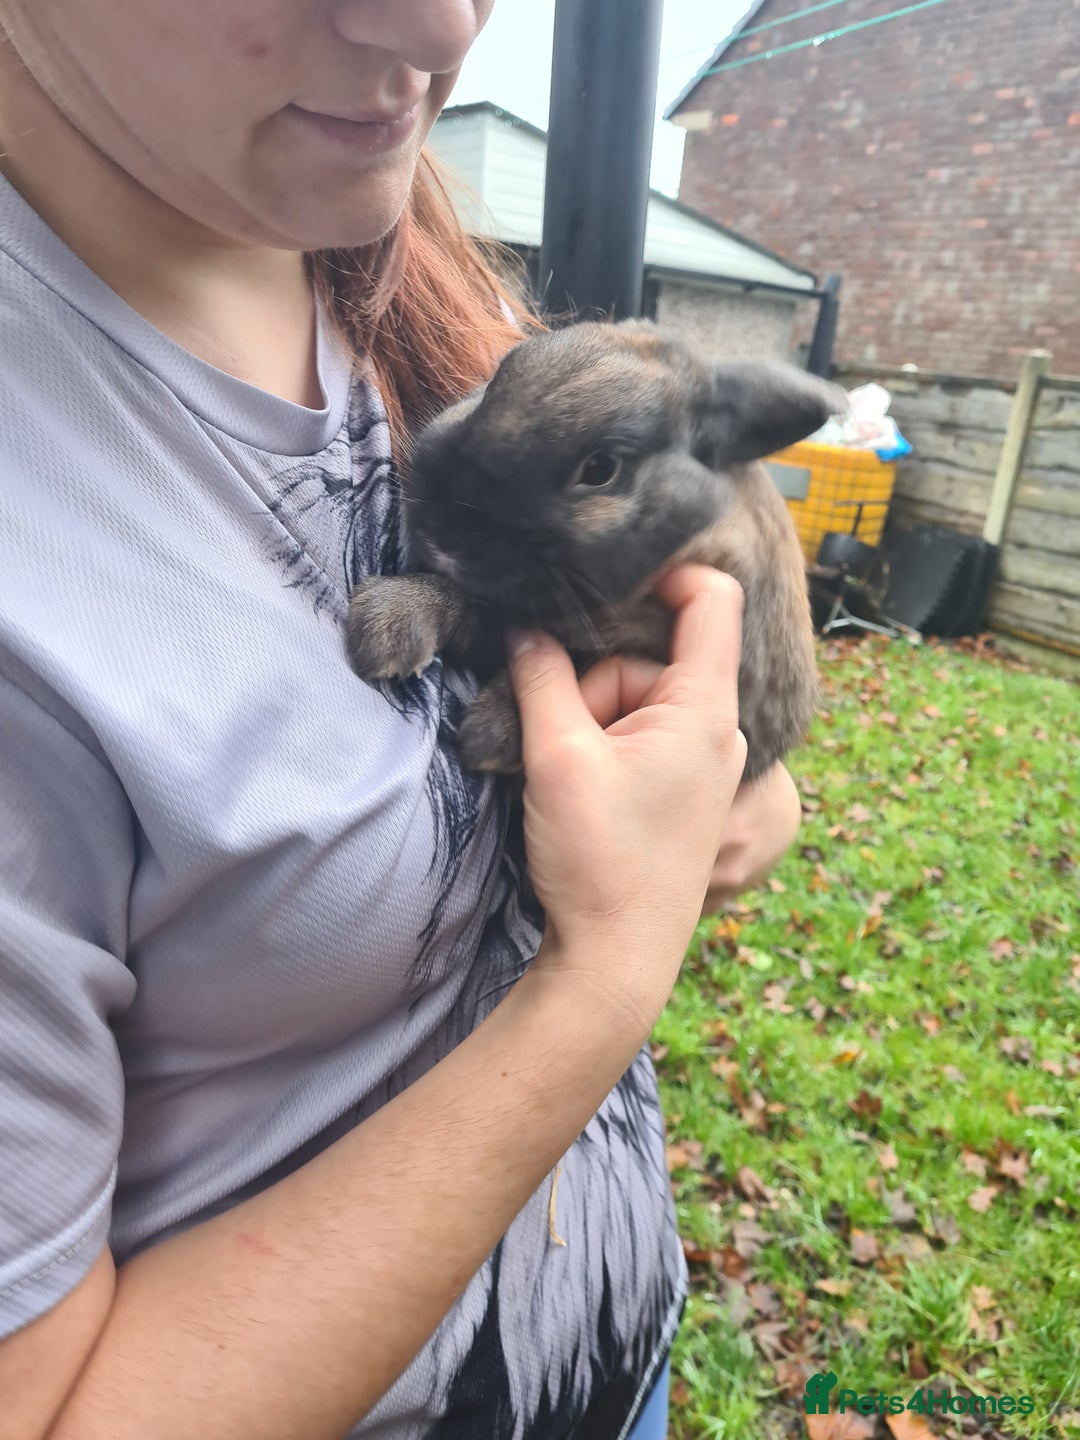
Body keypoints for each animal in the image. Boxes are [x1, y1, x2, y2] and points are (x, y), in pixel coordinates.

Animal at [345, 319, 846, 783]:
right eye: (496, 379)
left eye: (601, 468)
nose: (445, 531)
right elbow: (470, 603)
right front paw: (387, 625)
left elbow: (579, 658)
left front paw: (492, 738)